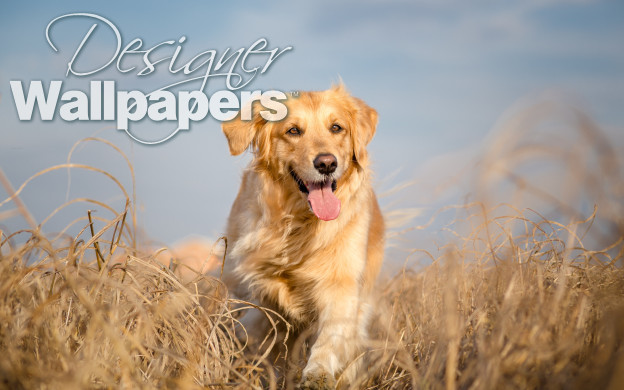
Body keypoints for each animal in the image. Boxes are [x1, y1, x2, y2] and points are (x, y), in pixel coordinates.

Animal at [219, 84, 386, 386]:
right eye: (293, 130)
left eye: (336, 127)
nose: (327, 163)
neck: (300, 223)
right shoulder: (258, 288)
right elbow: (261, 333)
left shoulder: (342, 283)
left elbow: (331, 335)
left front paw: (318, 373)